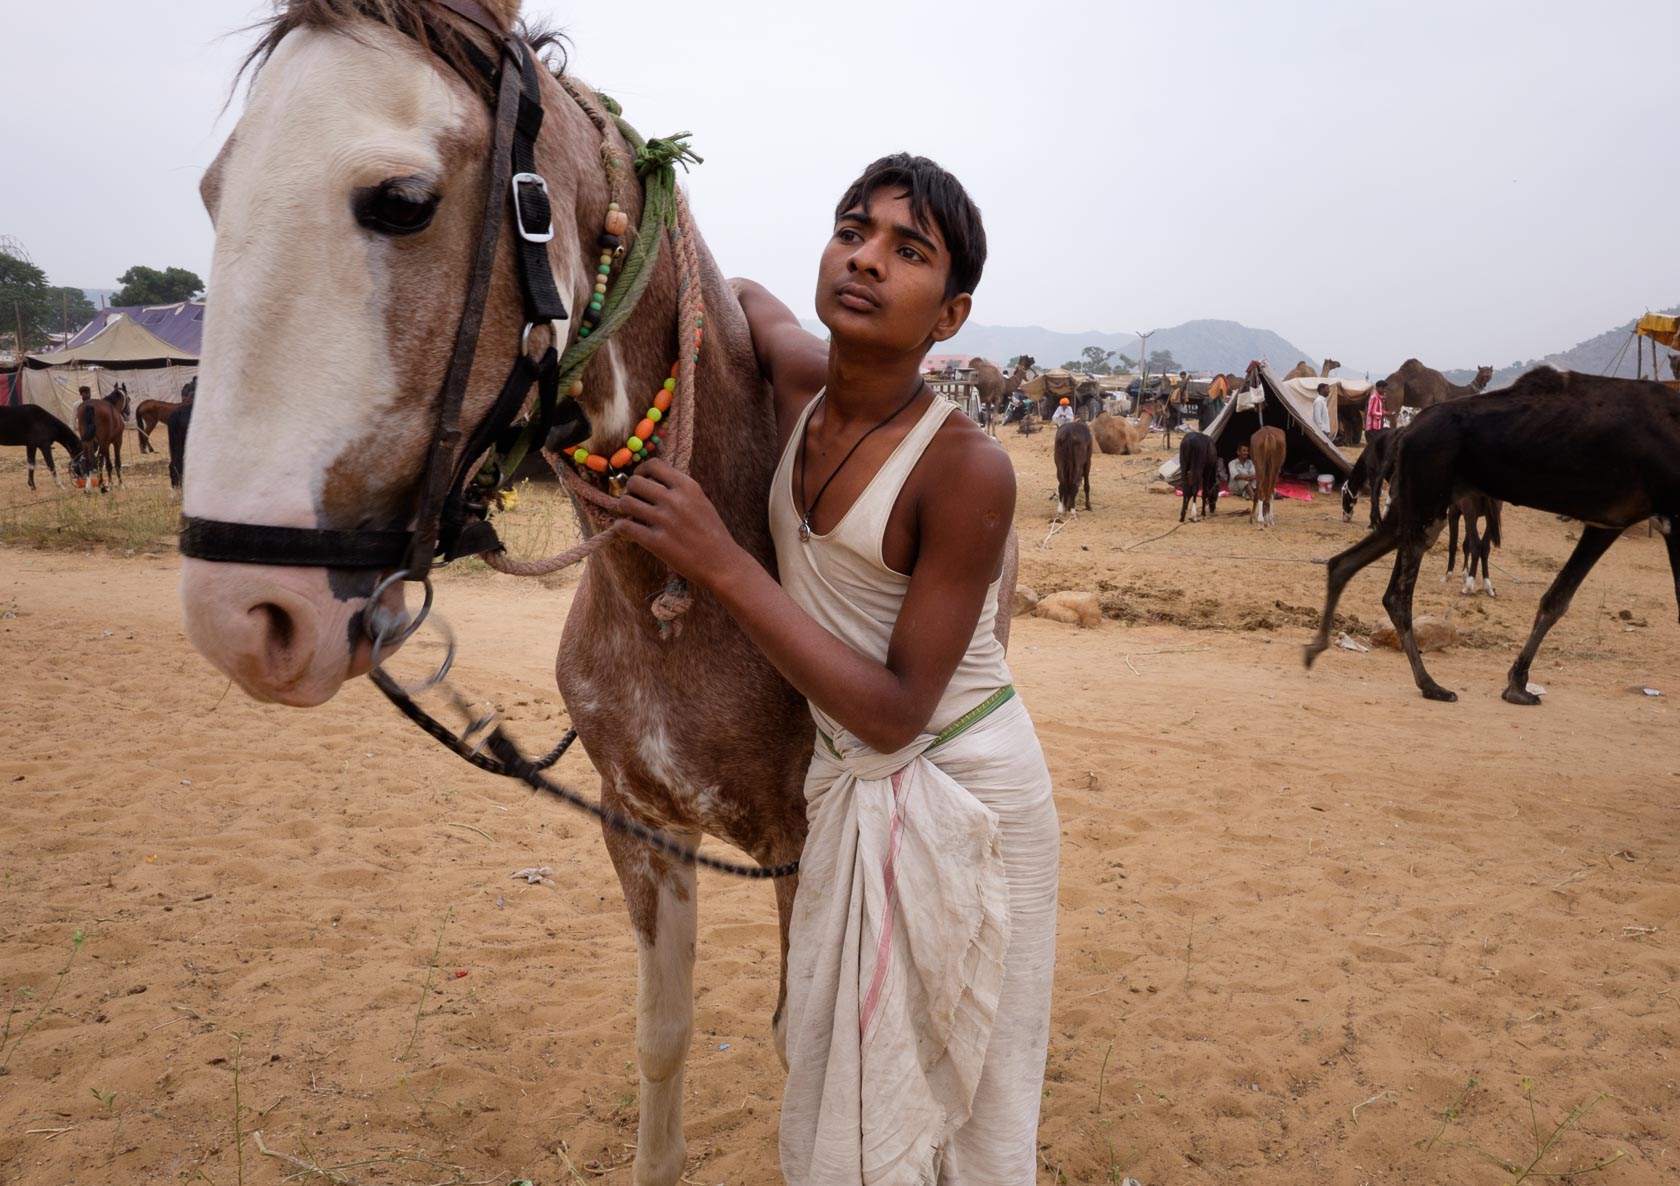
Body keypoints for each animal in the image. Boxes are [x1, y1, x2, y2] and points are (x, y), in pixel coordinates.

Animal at [170, 6, 1014, 1175]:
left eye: (401, 201)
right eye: (214, 192)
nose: (242, 613)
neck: (673, 605)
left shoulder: (807, 848)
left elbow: (808, 1060)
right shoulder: (639, 826)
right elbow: (662, 1035)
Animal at [1310, 367, 1680, 702]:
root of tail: (1408, 430)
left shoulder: (1608, 522)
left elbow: (1556, 599)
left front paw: (1517, 684)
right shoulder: (1670, 517)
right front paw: (1517, 684)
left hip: (1419, 502)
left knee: (1346, 563)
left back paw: (1317, 650)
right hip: (1428, 495)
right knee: (1398, 593)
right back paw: (1431, 684)